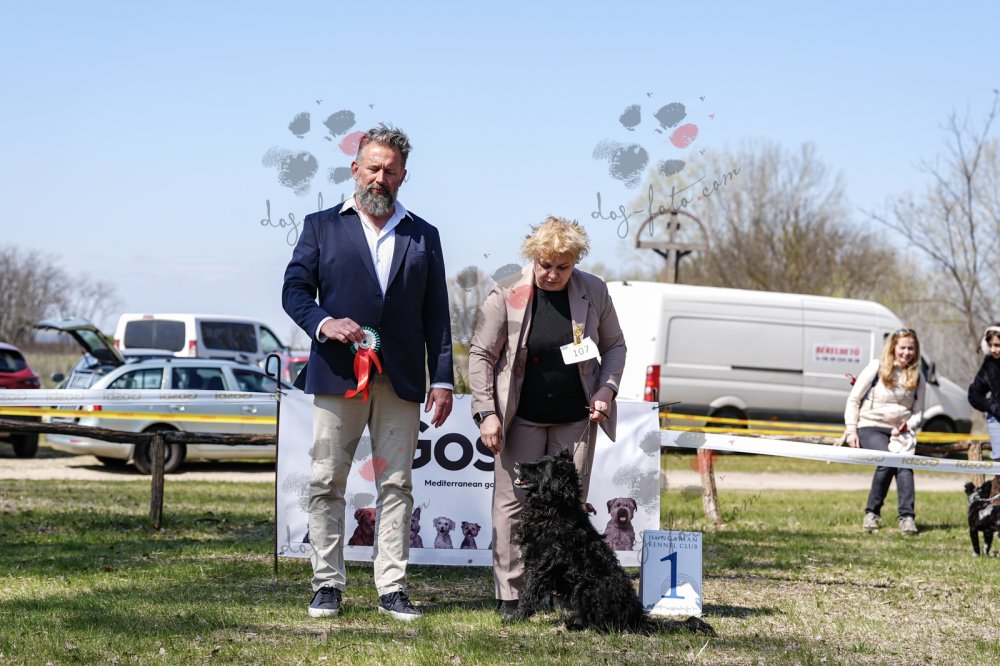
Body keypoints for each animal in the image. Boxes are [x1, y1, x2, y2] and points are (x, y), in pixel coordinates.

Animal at [511, 451, 714, 635]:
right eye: (536, 460)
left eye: (539, 468)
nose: (517, 464)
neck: (554, 509)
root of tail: (636, 617)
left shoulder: (540, 564)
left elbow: (528, 593)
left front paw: (516, 618)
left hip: (586, 588)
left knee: (603, 624)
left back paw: (574, 625)